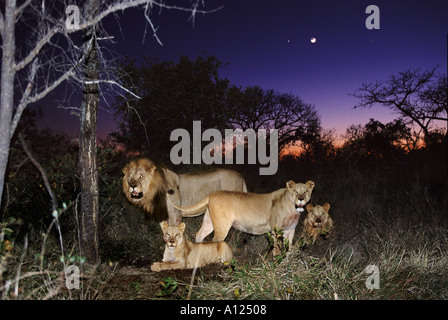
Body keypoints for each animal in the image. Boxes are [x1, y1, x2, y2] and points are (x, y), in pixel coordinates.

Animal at [165, 180, 316, 255]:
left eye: (305, 191)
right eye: (296, 191)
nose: (301, 199)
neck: (293, 208)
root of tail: (212, 194)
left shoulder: (290, 230)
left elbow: (289, 247)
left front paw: (287, 261)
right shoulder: (276, 230)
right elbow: (277, 247)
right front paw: (278, 261)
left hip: (209, 222)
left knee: (199, 234)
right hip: (222, 225)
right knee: (216, 241)